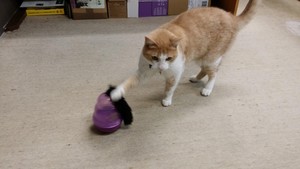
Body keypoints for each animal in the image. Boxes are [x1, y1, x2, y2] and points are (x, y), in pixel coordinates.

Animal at [110, 0, 258, 106]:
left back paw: (207, 89)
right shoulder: (144, 71)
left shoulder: (175, 73)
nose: (162, 68)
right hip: (201, 57)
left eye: (168, 58)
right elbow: (128, 82)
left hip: (210, 58)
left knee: (214, 73)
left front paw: (167, 100)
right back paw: (195, 78)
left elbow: (170, 88)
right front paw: (116, 93)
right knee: (206, 70)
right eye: (155, 57)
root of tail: (230, 16)